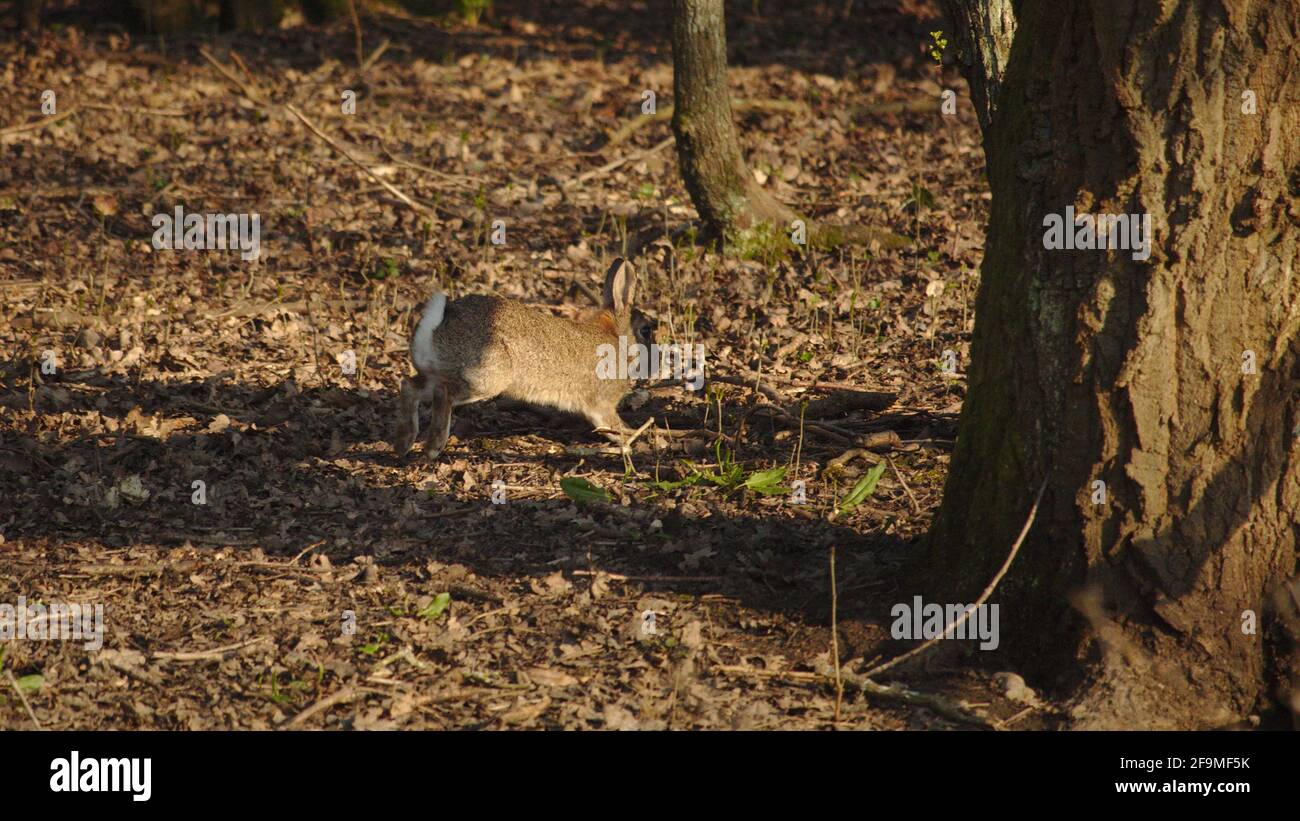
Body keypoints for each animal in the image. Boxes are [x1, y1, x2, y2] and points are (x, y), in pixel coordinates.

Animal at [384, 258, 650, 459]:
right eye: (645, 330)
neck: (616, 337)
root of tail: (439, 322)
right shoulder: (602, 405)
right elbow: (611, 425)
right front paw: (634, 437)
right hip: (485, 379)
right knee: (443, 394)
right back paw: (432, 448)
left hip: (437, 372)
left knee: (409, 386)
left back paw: (403, 444)